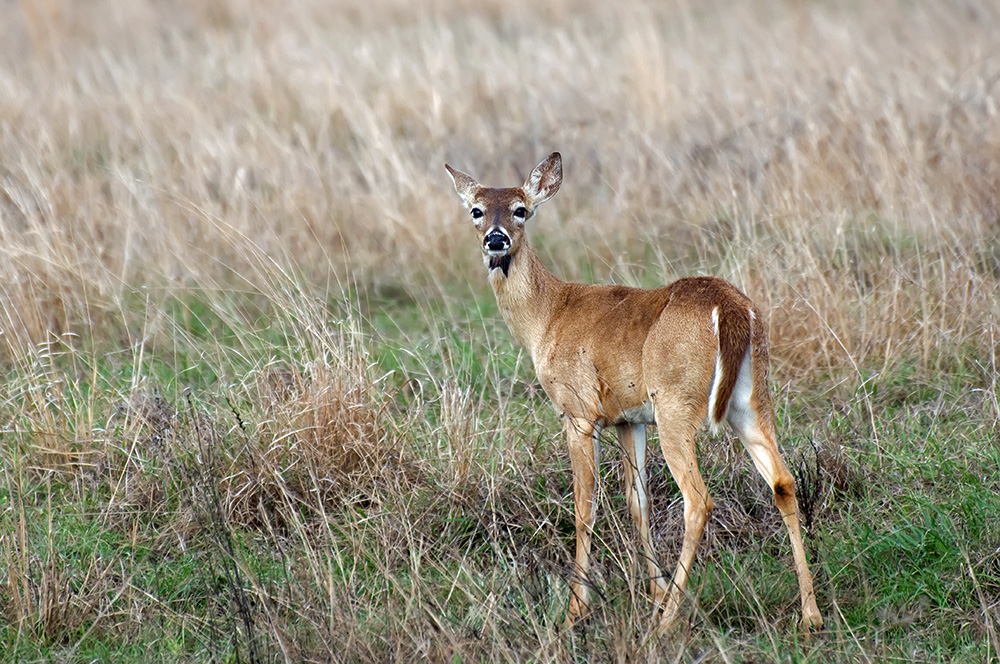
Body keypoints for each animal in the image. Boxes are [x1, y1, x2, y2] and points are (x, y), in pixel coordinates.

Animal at [450, 150, 824, 632]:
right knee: (783, 481)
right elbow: (637, 502)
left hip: (676, 401)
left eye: (520, 209)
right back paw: (810, 614)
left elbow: (585, 507)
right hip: (751, 399)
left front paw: (576, 610)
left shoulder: (579, 411)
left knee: (698, 500)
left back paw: (667, 622)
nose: (495, 240)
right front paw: (653, 591)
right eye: (477, 211)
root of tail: (732, 309)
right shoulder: (629, 418)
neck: (547, 318)